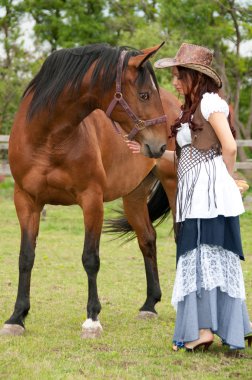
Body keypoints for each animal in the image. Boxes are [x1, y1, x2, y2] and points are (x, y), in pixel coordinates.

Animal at [0, 42, 178, 338]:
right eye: (144, 94)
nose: (160, 145)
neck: (48, 137)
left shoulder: (92, 200)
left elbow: (90, 258)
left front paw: (92, 319)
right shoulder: (26, 201)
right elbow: (26, 257)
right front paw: (16, 317)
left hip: (175, 185)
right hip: (134, 196)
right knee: (147, 239)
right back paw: (149, 305)